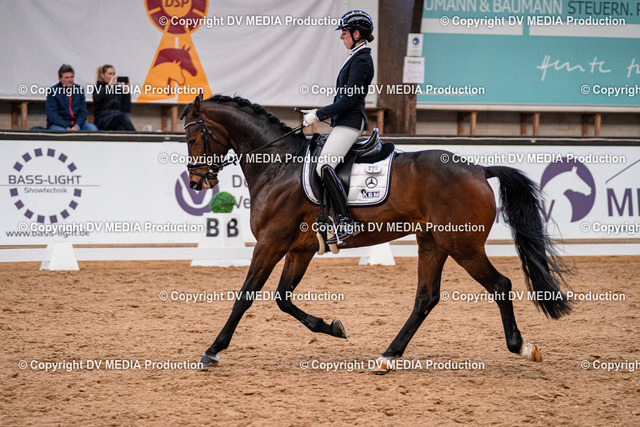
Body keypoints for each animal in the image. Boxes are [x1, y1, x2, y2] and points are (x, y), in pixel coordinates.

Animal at [181, 94, 572, 373]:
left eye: (191, 135)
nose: (197, 182)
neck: (280, 166)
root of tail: (479, 168)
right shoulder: (298, 249)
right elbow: (283, 298)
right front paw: (333, 327)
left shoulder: (270, 244)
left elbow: (246, 296)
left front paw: (212, 351)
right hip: (432, 243)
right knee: (426, 298)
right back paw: (388, 356)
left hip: (462, 245)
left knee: (500, 285)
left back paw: (521, 347)